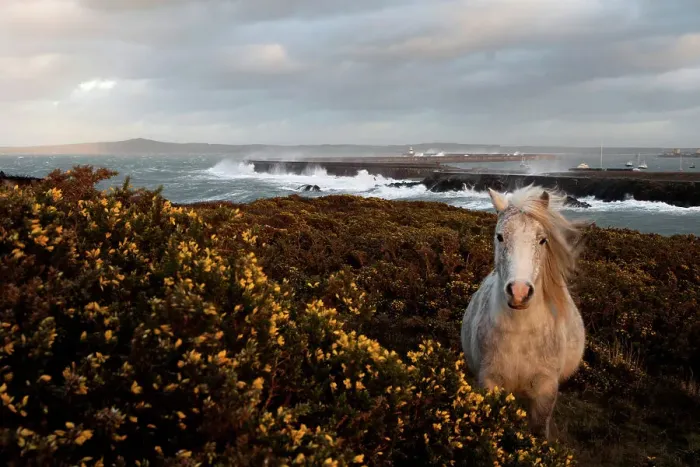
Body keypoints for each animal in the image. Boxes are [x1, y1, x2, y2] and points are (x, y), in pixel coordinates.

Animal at [461, 185, 586, 440]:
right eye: (500, 236)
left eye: (542, 240)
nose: (519, 292)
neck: (521, 332)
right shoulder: (489, 382)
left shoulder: (545, 391)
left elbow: (538, 431)